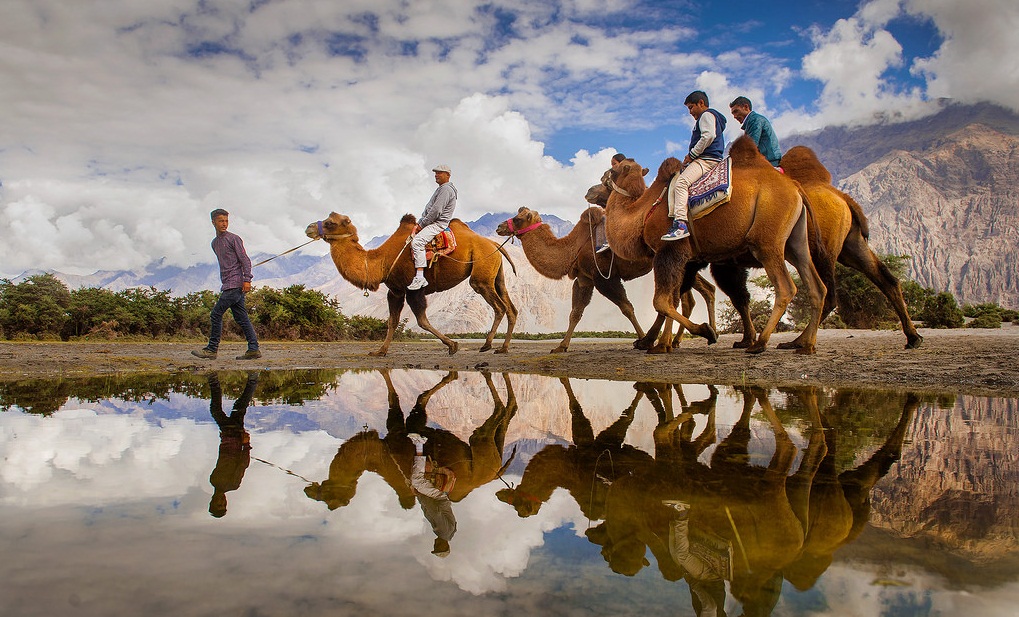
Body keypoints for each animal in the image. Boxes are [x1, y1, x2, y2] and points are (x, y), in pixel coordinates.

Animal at [305, 213, 517, 356]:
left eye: (330, 223)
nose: (309, 228)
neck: (381, 261)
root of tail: (495, 245)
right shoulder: (396, 290)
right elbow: (392, 321)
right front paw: (380, 351)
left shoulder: (413, 289)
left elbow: (422, 320)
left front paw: (452, 345)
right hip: (496, 274)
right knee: (511, 308)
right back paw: (502, 348)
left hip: (481, 274)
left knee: (499, 306)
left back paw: (487, 345)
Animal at [495, 206, 716, 352]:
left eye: (518, 218)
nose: (499, 227)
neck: (574, 246)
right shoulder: (584, 279)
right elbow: (575, 313)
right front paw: (561, 346)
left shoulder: (603, 276)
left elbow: (626, 308)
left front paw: (641, 337)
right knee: (693, 294)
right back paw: (677, 339)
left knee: (675, 297)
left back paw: (668, 341)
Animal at [603, 136, 828, 354]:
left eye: (615, 169)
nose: (602, 177)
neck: (644, 212)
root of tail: (795, 187)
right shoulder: (684, 259)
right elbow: (672, 299)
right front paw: (661, 343)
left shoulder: (669, 251)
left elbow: (661, 301)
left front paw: (703, 332)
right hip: (795, 243)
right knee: (816, 286)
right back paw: (804, 344)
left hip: (767, 241)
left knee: (785, 288)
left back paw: (760, 343)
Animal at [779, 146, 923, 349]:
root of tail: (842, 196)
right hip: (852, 245)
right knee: (887, 279)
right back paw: (913, 337)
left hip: (821, 248)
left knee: (828, 294)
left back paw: (800, 341)